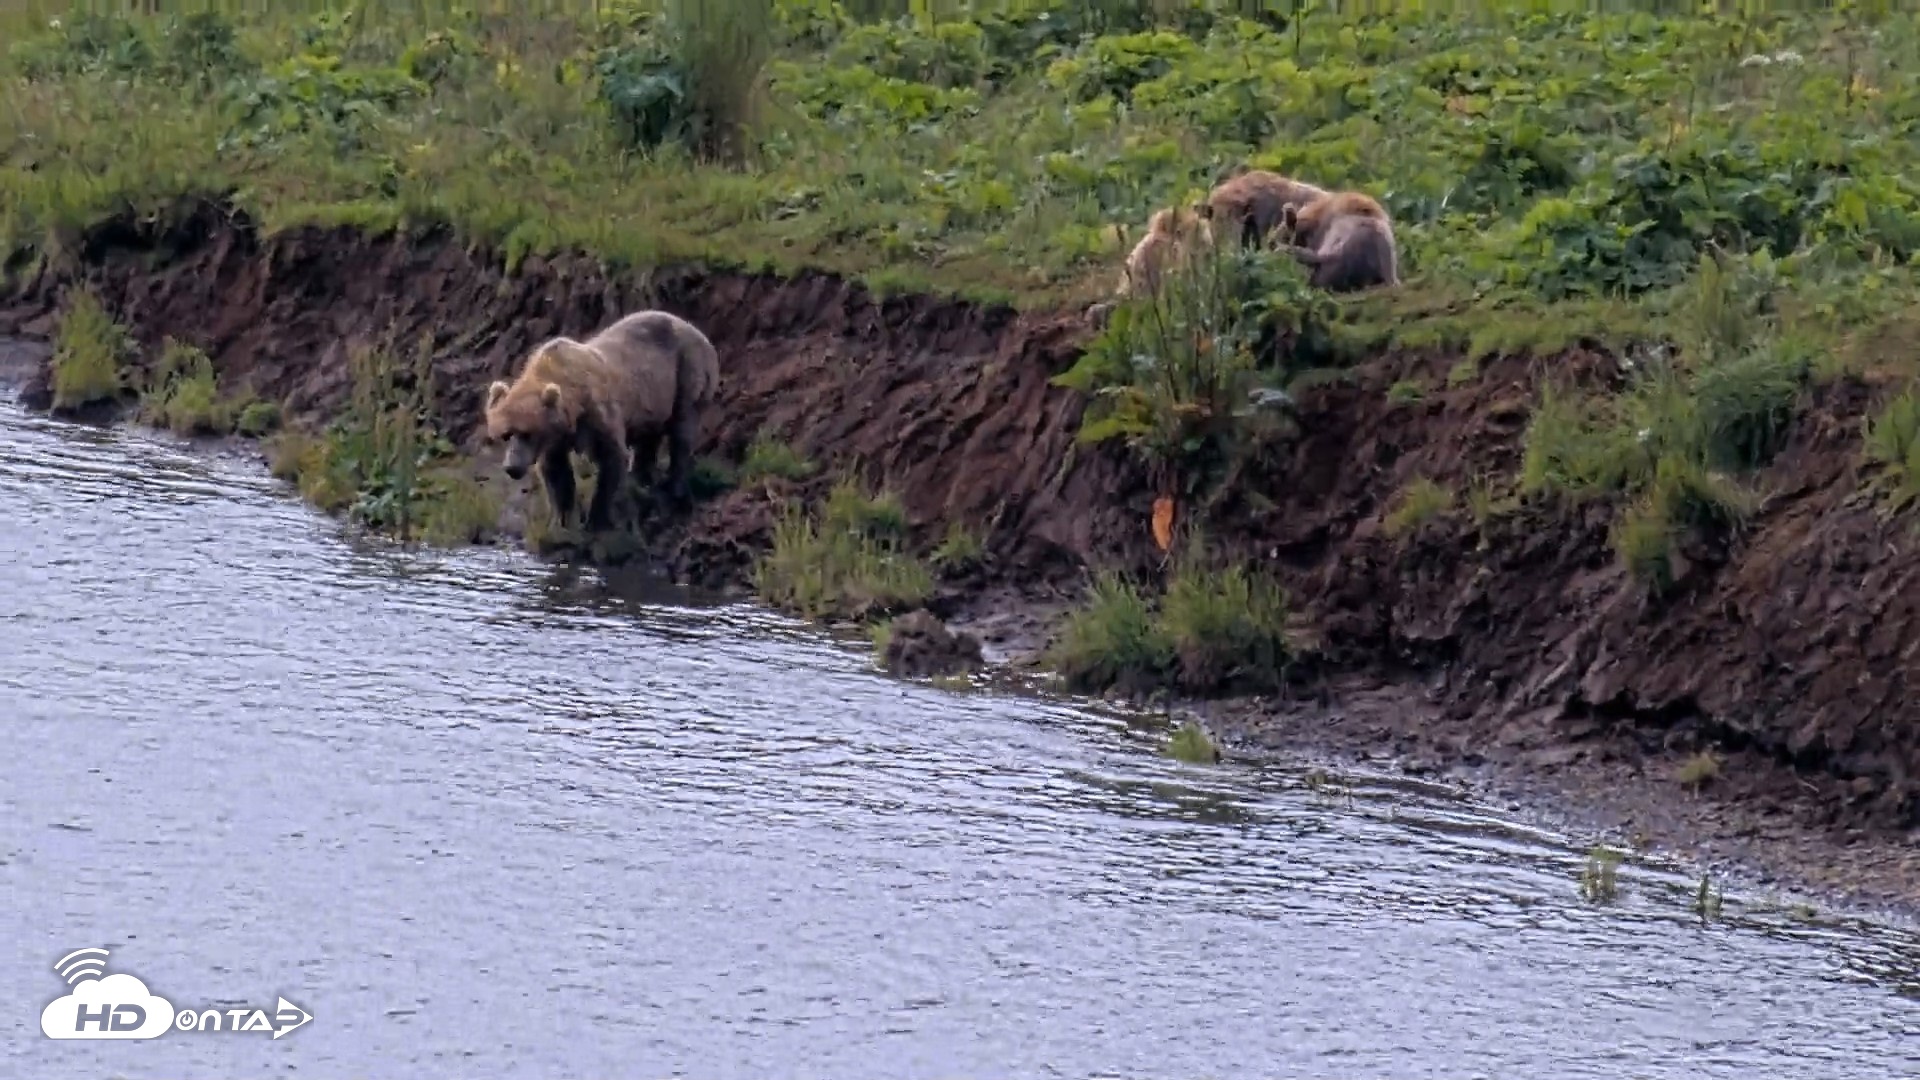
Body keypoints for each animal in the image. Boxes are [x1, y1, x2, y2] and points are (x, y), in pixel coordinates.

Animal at [483, 308, 720, 534]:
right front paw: (561, 522)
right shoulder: (556, 437)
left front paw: (598, 521)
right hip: (654, 398)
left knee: (682, 428)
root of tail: (700, 334)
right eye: (506, 434)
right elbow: (556, 471)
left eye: (527, 433)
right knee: (649, 437)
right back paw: (641, 479)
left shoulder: (597, 412)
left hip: (688, 371)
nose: (512, 467)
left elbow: (611, 458)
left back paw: (674, 487)